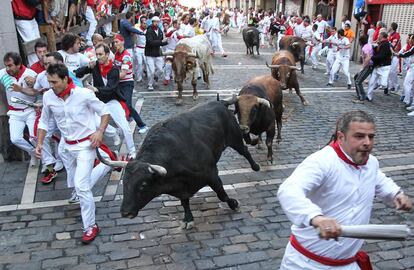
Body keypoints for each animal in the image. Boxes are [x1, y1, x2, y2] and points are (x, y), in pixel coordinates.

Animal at [96, 100, 258, 229]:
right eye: (124, 182)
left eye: (143, 185)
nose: (125, 212)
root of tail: (220, 103)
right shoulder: (181, 187)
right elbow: (184, 202)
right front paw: (188, 219)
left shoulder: (212, 174)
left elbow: (222, 194)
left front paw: (233, 204)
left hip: (235, 138)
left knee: (245, 151)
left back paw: (256, 166)